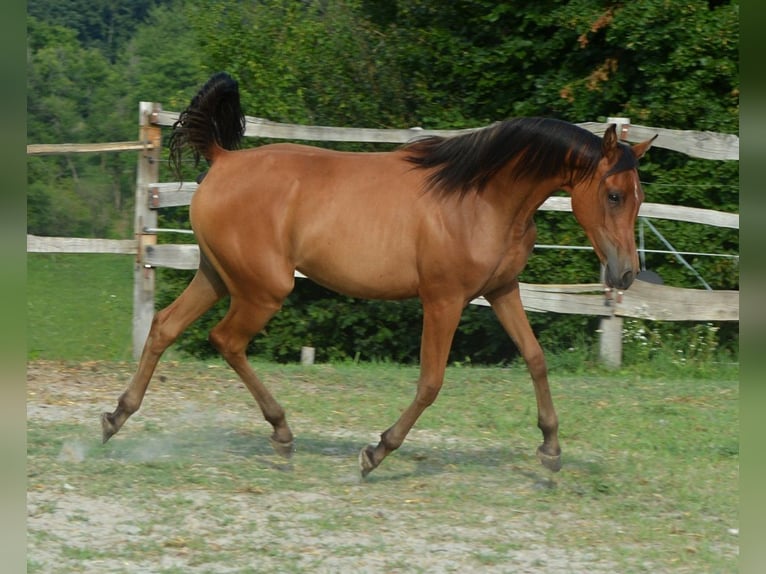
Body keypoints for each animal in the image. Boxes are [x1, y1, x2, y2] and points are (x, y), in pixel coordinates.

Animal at [102, 72, 656, 476]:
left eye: (638, 197)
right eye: (613, 195)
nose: (626, 274)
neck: (480, 198)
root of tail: (223, 161)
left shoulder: (501, 291)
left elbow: (536, 359)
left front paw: (551, 450)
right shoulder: (443, 299)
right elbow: (431, 382)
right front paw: (376, 452)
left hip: (217, 275)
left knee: (166, 327)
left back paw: (115, 418)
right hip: (264, 289)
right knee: (226, 340)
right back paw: (281, 434)